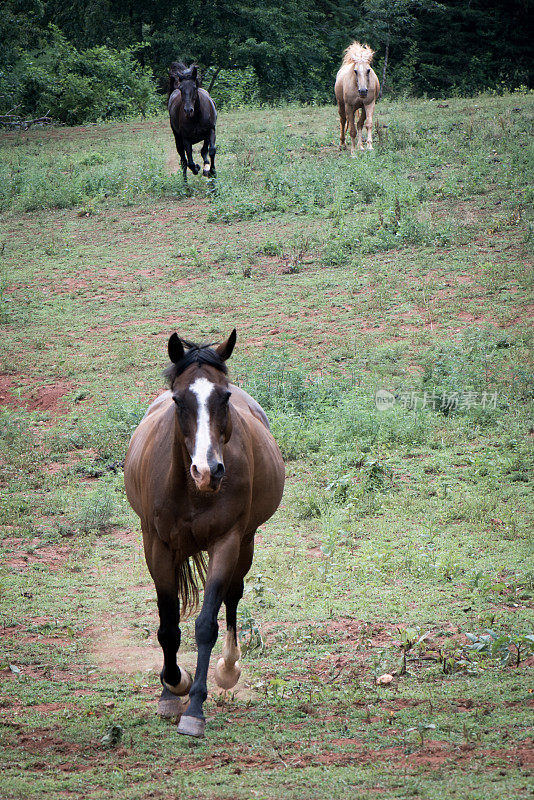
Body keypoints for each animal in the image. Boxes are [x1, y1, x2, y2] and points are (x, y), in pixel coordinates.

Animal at [124, 330, 286, 736]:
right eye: (178, 399)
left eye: (223, 397)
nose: (207, 470)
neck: (192, 491)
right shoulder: (157, 545)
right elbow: (168, 625)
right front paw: (172, 689)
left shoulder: (227, 542)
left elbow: (205, 625)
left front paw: (195, 707)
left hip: (246, 542)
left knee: (233, 596)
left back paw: (228, 669)